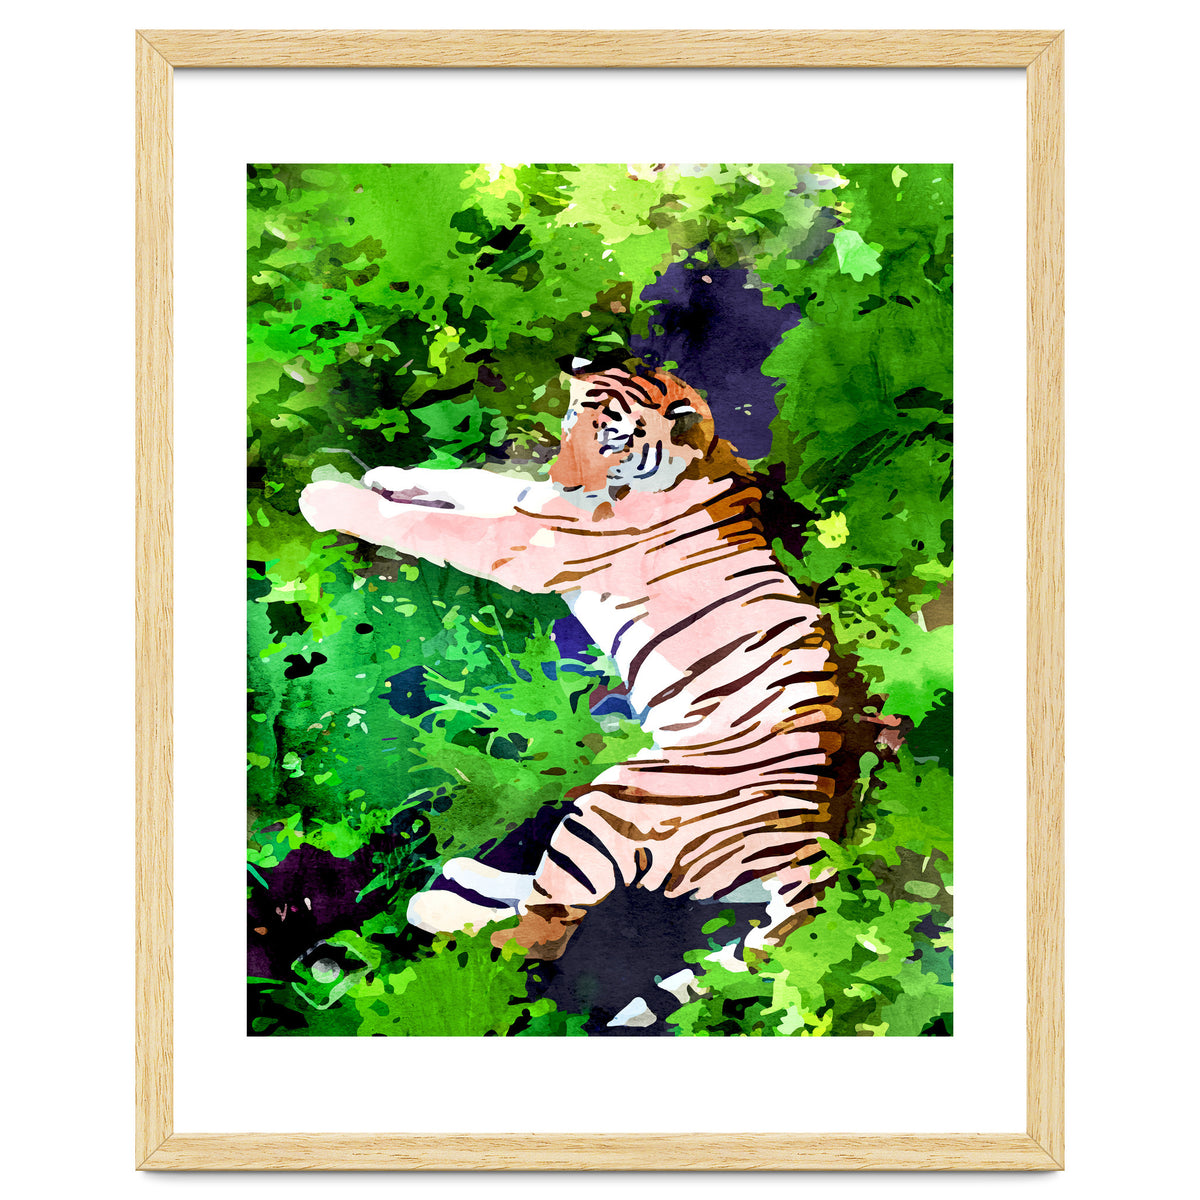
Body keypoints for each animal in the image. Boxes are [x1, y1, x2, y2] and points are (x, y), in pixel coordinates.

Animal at [299, 361, 868, 961]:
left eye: (613, 440)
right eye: (572, 421)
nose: (566, 478)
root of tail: (811, 850)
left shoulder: (525, 541)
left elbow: (423, 524)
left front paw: (325, 497)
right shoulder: (532, 502)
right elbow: (471, 481)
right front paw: (387, 474)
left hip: (616, 804)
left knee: (540, 932)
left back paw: (432, 906)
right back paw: (465, 872)